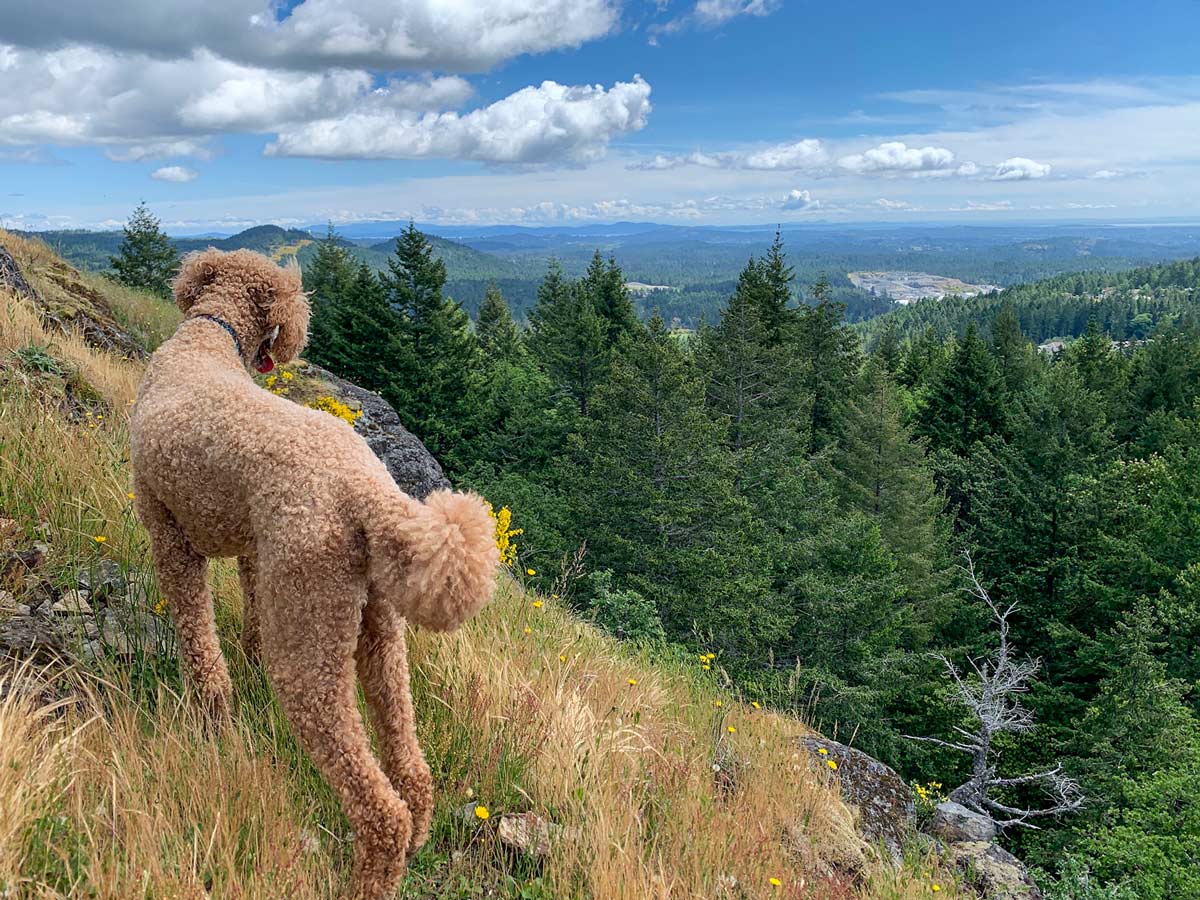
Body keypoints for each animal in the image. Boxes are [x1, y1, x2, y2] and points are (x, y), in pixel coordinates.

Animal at [132, 248, 501, 900]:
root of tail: (367, 491)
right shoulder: (254, 550)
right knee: (411, 767)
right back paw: (416, 838)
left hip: (309, 639)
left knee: (379, 808)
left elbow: (198, 638)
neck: (208, 335)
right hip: (377, 633)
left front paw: (210, 710)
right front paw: (244, 672)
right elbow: (250, 615)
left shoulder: (168, 531)